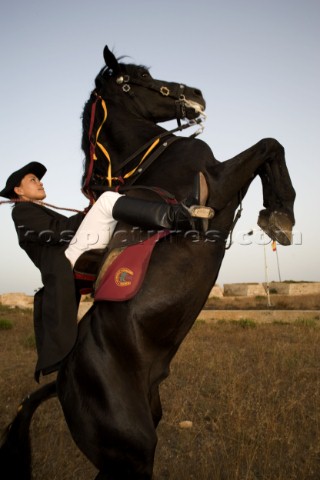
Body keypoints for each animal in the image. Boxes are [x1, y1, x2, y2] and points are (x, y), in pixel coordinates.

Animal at [0, 46, 296, 480]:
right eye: (132, 80)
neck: (156, 159)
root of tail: (63, 381)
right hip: (132, 451)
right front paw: (280, 214)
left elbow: (270, 148)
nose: (195, 93)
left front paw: (277, 213)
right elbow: (269, 145)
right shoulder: (219, 184)